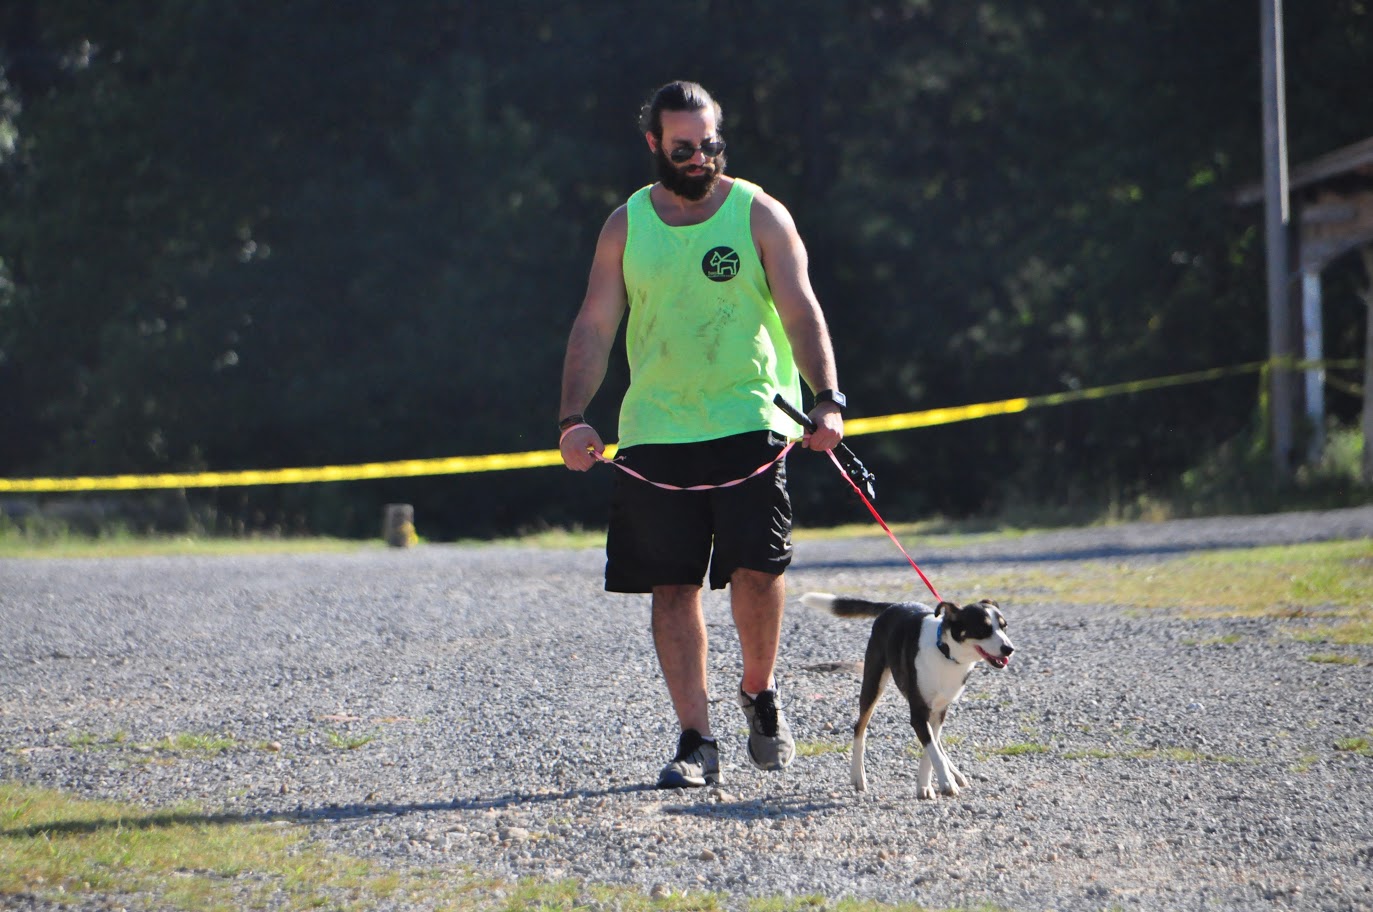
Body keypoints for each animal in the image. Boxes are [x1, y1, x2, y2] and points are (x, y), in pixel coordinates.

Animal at [801, 590, 1016, 796]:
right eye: (982, 629)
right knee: (859, 728)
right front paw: (944, 783)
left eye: (1004, 627)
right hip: (873, 683)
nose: (1009, 649)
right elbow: (933, 750)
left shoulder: (939, 711)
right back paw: (858, 776)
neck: (945, 653)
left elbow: (932, 750)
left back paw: (955, 774)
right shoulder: (919, 713)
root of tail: (894, 605)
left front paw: (927, 784)